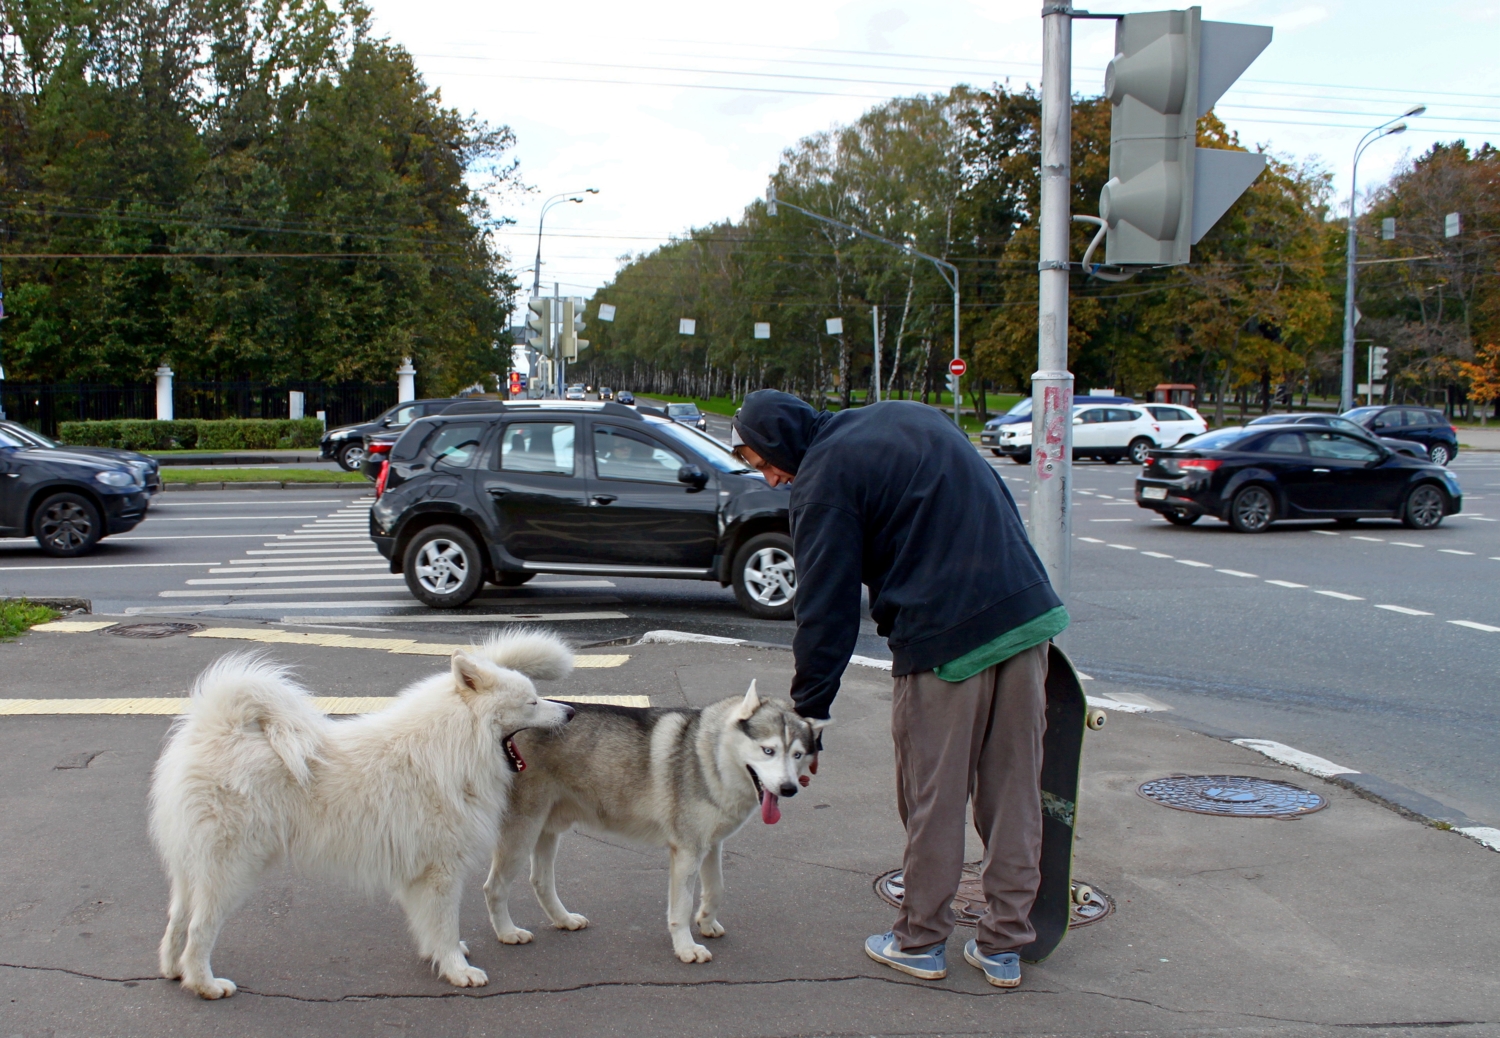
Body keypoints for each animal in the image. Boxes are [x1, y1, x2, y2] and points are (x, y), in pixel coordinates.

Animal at [149, 627, 573, 1002]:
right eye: (533, 701)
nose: (569, 711)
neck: (452, 745)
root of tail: (216, 731)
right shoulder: (442, 872)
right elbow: (444, 925)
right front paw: (458, 970)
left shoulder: (419, 875)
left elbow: (428, 926)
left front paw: (437, 957)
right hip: (231, 871)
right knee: (199, 931)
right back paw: (204, 984)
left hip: (192, 870)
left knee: (177, 920)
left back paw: (172, 970)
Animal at [480, 681, 828, 966]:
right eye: (768, 750)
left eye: (797, 755)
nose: (789, 788)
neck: (710, 757)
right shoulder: (686, 852)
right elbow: (681, 908)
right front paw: (686, 948)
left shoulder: (711, 845)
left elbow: (716, 889)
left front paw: (706, 922)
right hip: (522, 835)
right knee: (494, 888)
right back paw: (508, 932)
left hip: (547, 831)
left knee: (540, 881)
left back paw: (563, 919)